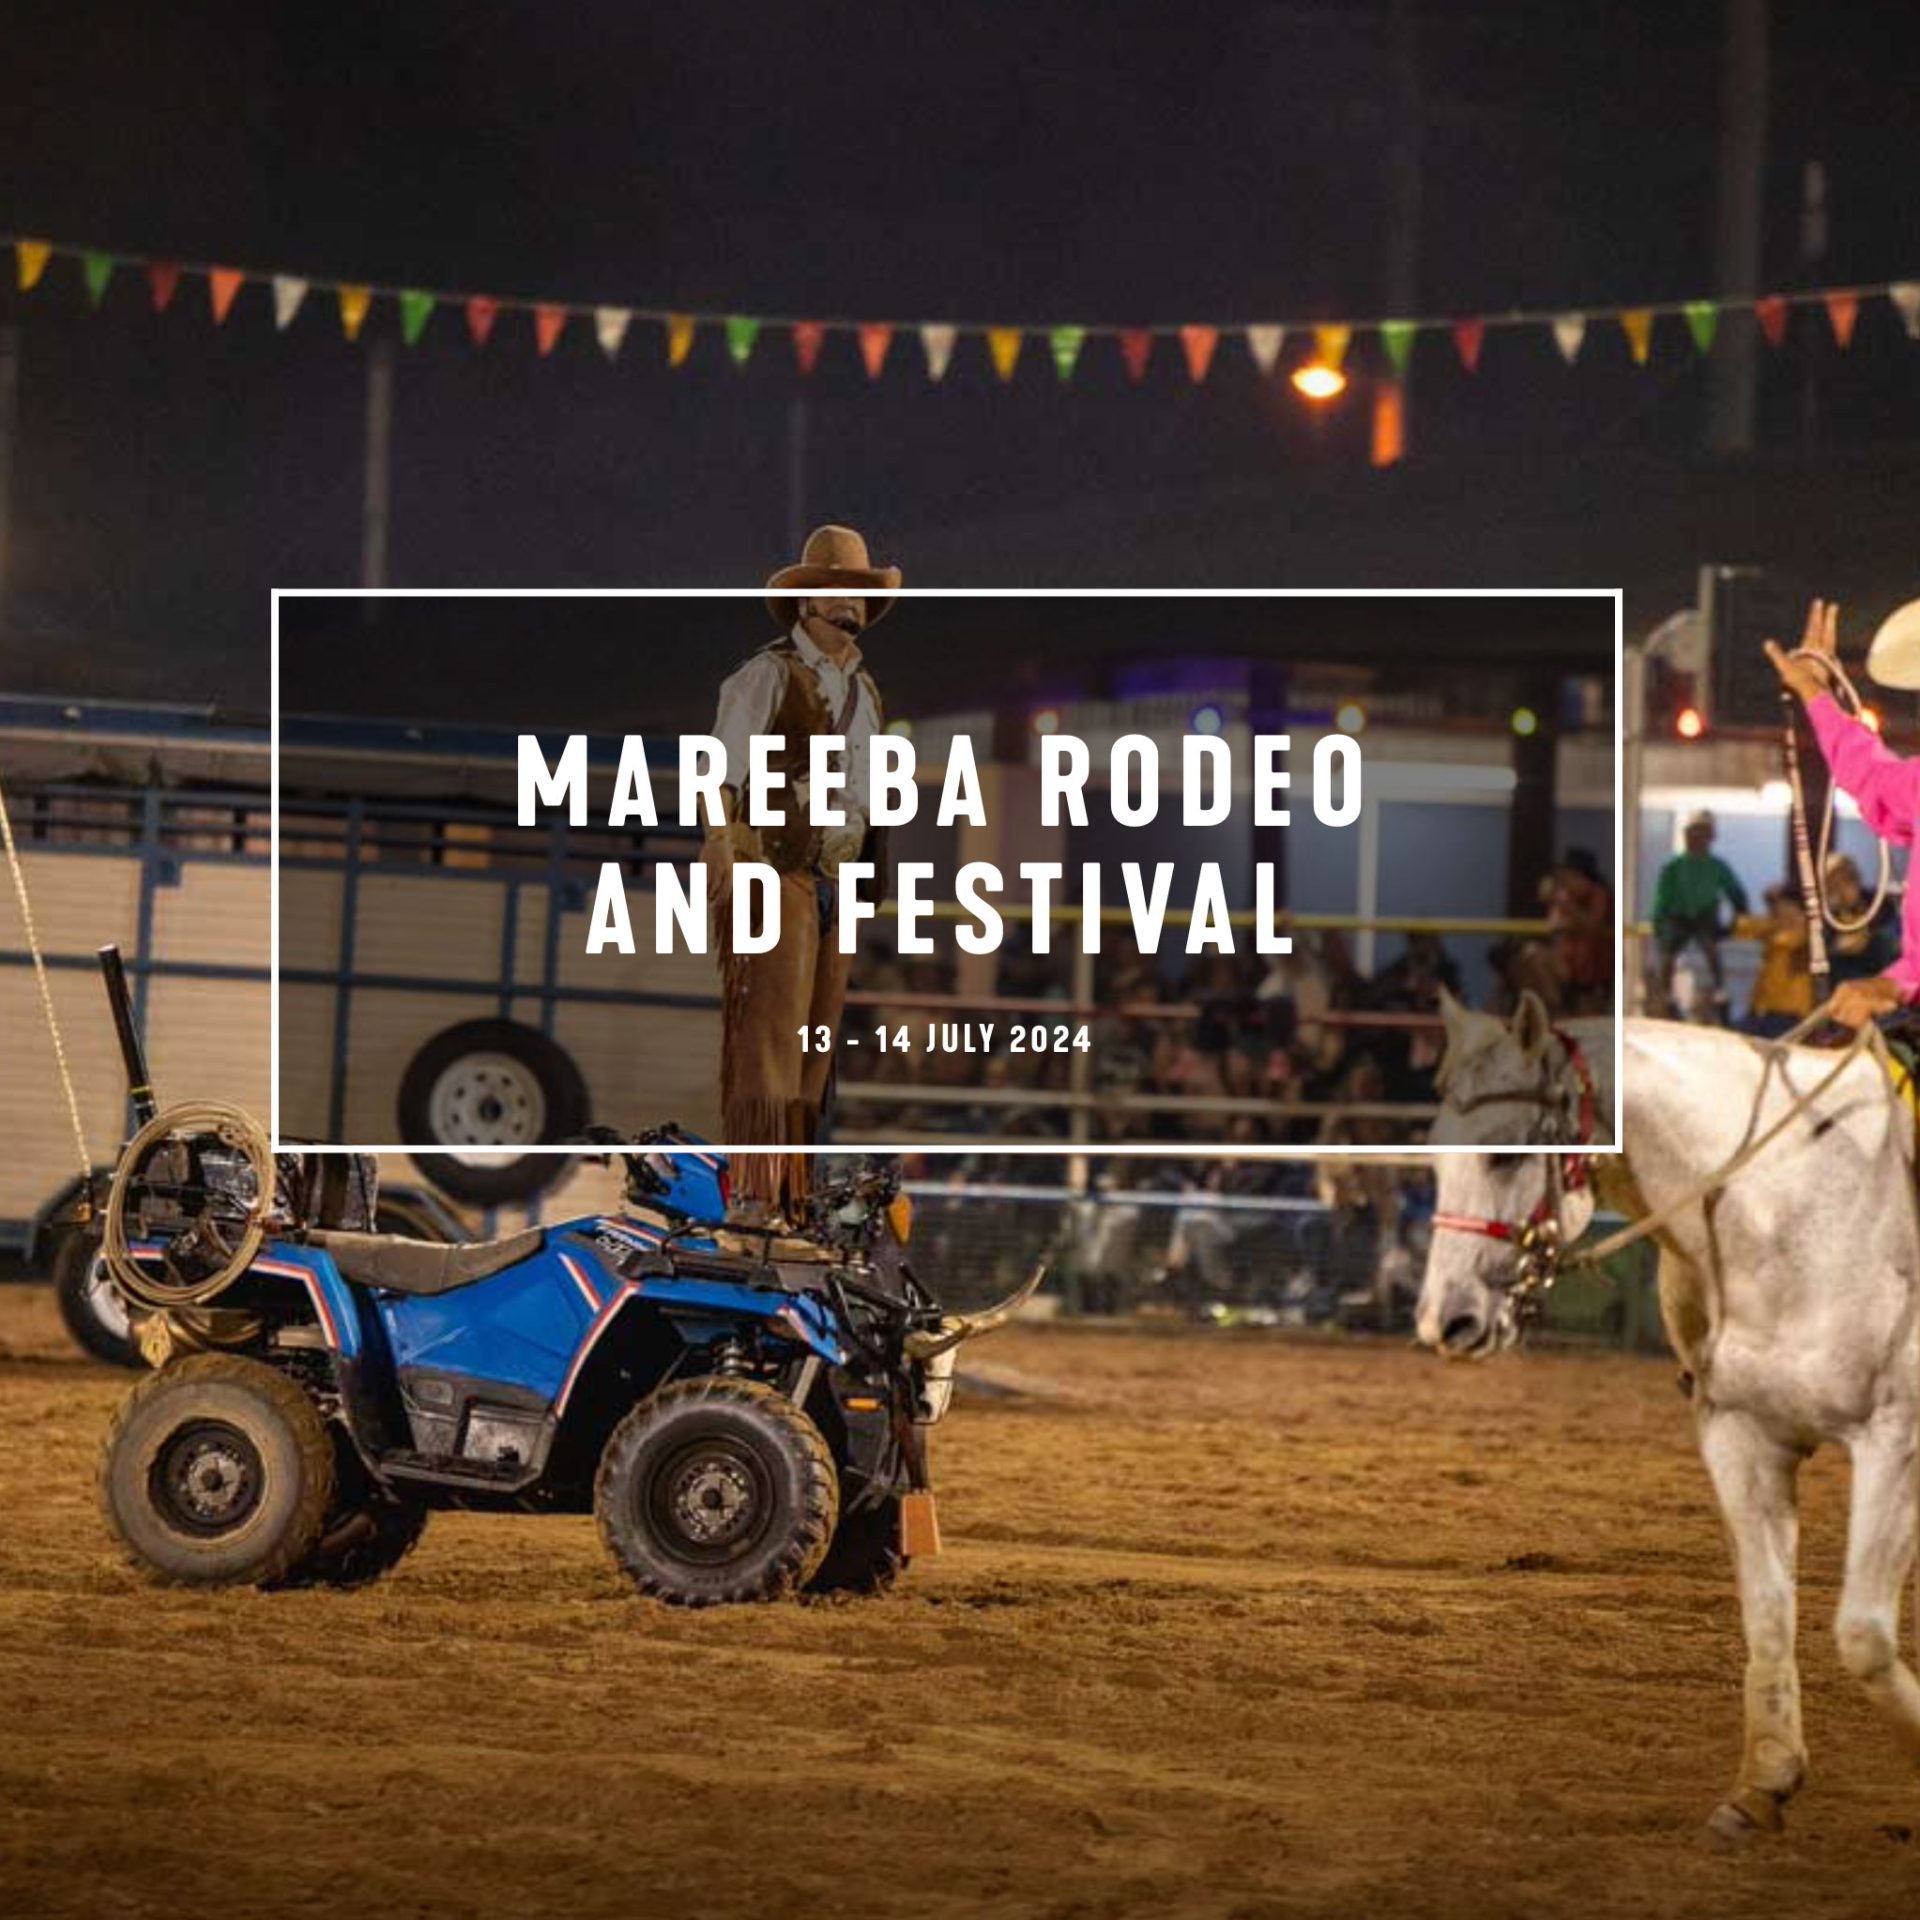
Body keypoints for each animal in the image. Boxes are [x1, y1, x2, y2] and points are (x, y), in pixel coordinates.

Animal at [1420, 998, 1920, 1835]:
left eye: (1504, 1155)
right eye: (1430, 1156)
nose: (1444, 1321)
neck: (1786, 1208)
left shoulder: (1895, 1440)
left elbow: (1863, 1635)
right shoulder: (1739, 1436)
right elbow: (1768, 1613)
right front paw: (1764, 1782)